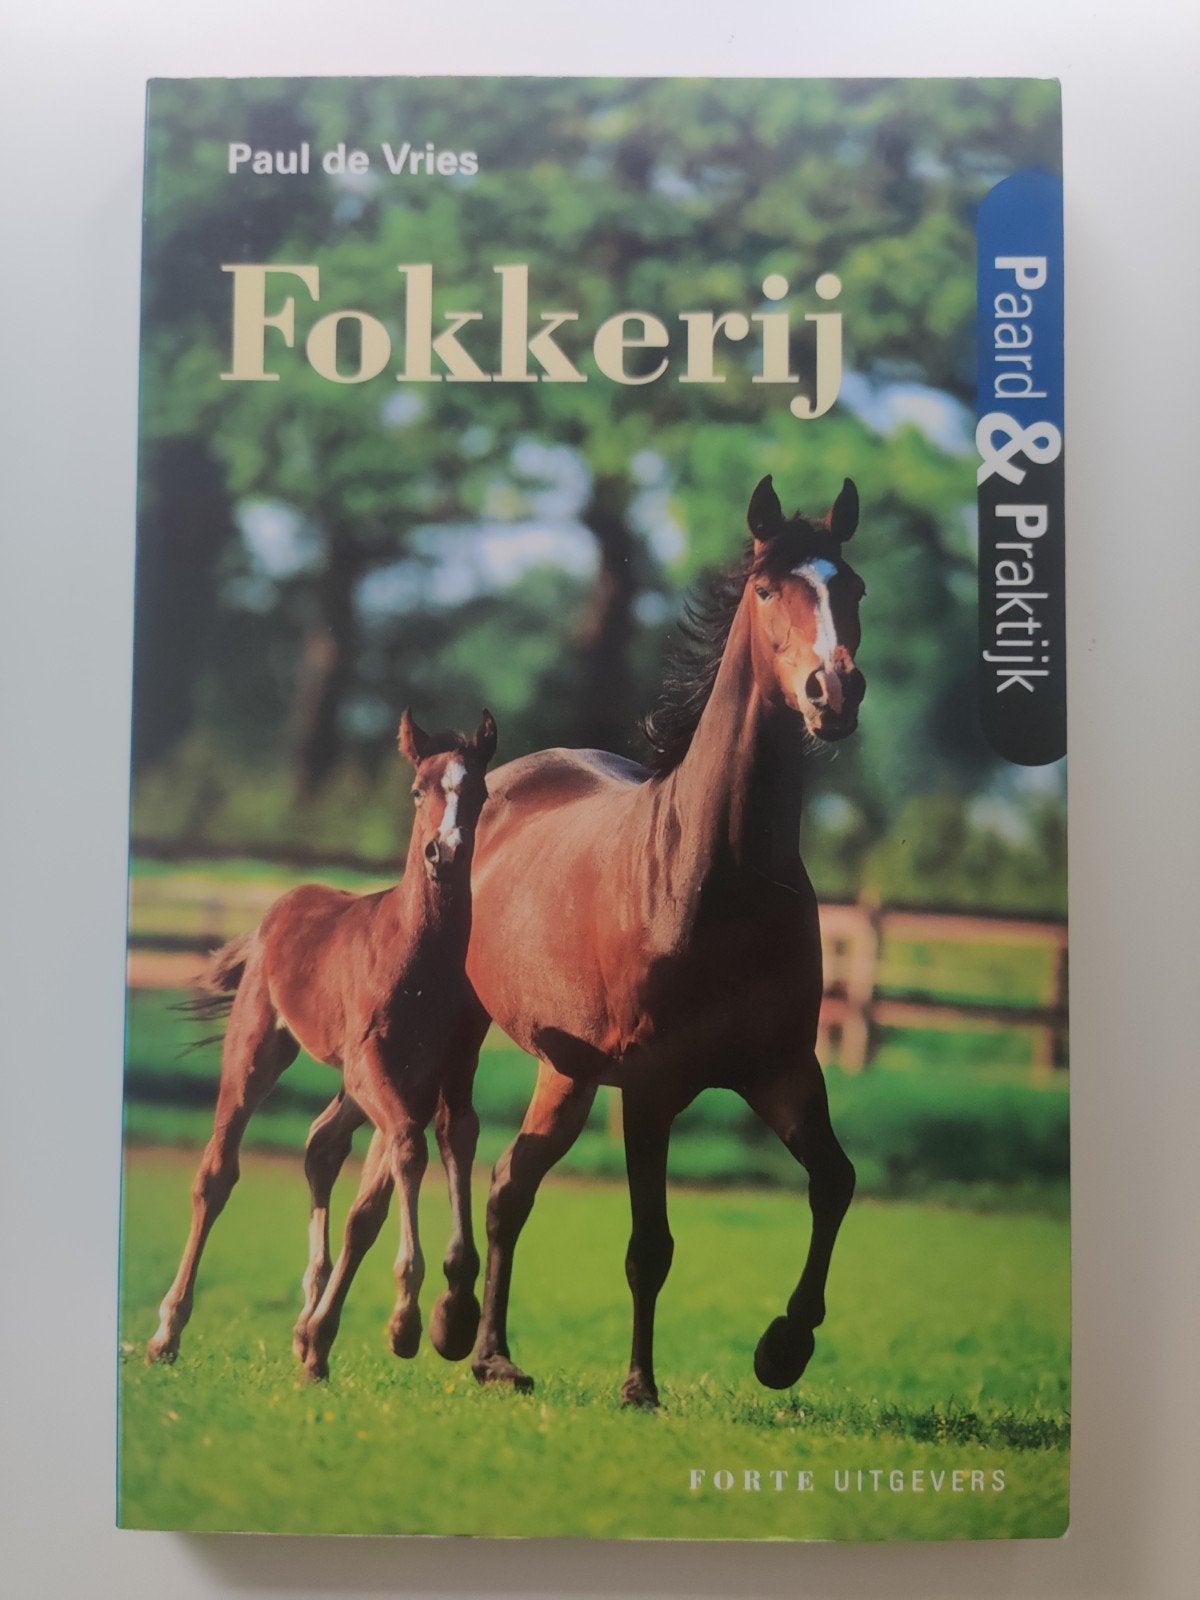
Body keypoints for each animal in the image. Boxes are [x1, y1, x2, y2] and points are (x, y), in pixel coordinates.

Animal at [145, 709, 497, 1380]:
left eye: (480, 794)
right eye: (419, 790)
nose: (445, 852)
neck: (422, 958)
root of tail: (277, 910)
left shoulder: (443, 1073)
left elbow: (445, 1147)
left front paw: (454, 1312)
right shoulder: (371, 1064)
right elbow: (408, 1152)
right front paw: (405, 1322)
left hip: (361, 1087)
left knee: (321, 1145)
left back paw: (309, 1324)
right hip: (259, 1049)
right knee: (217, 1173)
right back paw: (167, 1333)